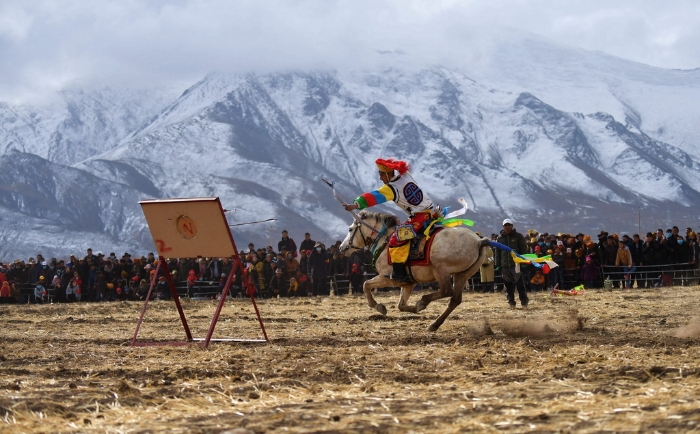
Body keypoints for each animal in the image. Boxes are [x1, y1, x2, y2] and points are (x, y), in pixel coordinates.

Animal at [342, 210, 490, 332]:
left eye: (350, 229)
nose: (342, 248)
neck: (385, 243)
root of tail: (478, 241)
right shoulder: (408, 284)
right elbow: (401, 305)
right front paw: (412, 309)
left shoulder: (387, 278)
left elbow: (365, 285)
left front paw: (378, 306)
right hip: (462, 274)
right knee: (455, 299)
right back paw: (434, 324)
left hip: (441, 270)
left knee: (447, 291)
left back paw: (423, 302)